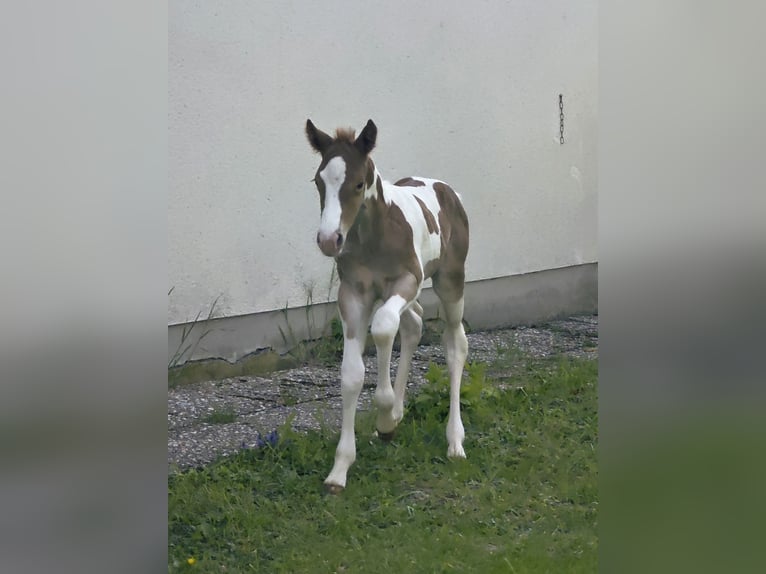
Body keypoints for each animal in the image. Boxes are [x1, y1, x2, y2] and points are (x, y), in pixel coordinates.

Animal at [306, 118, 468, 496]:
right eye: (318, 181)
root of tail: (447, 190)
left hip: (450, 282)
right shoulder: (353, 294)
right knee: (413, 324)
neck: (372, 237)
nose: (329, 240)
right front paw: (340, 468)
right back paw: (398, 413)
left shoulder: (407, 279)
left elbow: (381, 329)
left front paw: (384, 410)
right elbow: (352, 373)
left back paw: (454, 440)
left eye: (358, 183)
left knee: (455, 344)